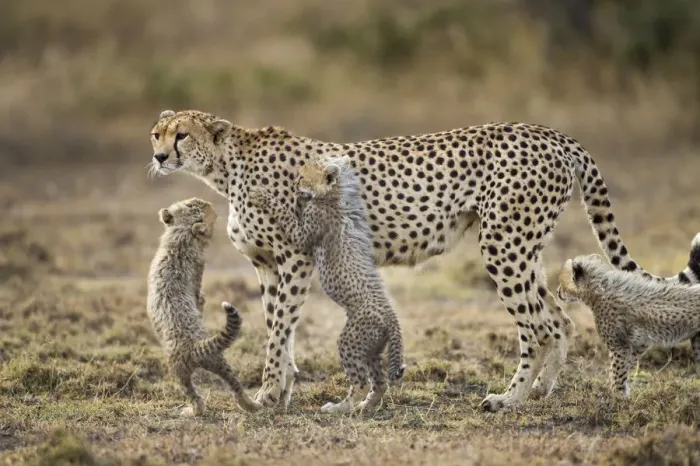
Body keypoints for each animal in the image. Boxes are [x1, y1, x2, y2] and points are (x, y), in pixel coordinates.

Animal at [147, 197, 262, 416]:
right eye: (193, 205)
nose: (207, 201)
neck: (180, 237)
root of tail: (194, 348)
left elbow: (200, 300)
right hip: (216, 361)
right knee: (234, 385)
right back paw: (251, 405)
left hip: (179, 373)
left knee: (195, 397)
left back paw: (192, 411)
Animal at [249, 155, 406, 414]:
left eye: (302, 176)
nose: (294, 185)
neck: (333, 195)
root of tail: (392, 319)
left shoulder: (304, 232)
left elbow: (286, 216)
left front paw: (264, 195)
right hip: (372, 347)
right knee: (380, 381)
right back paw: (365, 406)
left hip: (351, 340)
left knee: (361, 382)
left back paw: (339, 407)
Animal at [557, 233, 700, 397]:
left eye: (562, 282)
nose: (557, 291)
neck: (600, 289)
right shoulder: (637, 342)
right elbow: (625, 368)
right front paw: (621, 393)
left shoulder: (619, 345)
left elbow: (618, 372)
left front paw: (617, 397)